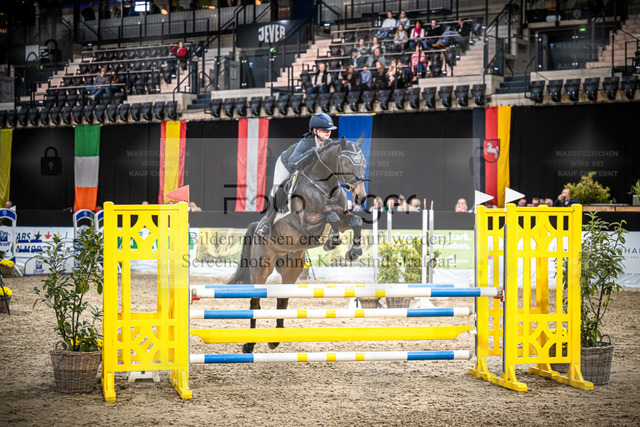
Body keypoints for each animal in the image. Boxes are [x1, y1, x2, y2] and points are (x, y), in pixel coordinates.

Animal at [228, 136, 368, 353]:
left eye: (364, 163)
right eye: (346, 163)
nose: (361, 197)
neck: (325, 187)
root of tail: (256, 227)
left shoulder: (344, 219)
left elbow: (355, 221)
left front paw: (354, 251)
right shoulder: (307, 224)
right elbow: (331, 216)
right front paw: (332, 241)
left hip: (291, 268)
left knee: (282, 301)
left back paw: (274, 341)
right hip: (261, 267)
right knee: (255, 303)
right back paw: (249, 345)